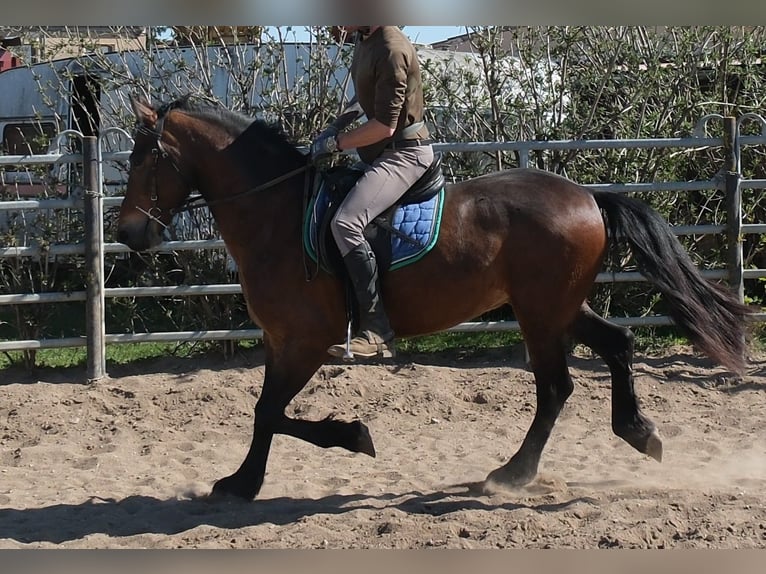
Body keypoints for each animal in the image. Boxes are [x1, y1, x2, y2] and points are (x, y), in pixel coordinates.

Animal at [116, 94, 751, 501]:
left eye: (145, 159)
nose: (128, 234)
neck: (278, 214)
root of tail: (589, 196)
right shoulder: (280, 341)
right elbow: (265, 412)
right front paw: (246, 480)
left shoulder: (304, 342)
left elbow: (269, 411)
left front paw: (347, 439)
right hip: (558, 307)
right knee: (616, 345)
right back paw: (639, 433)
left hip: (541, 314)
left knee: (555, 387)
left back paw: (512, 475)